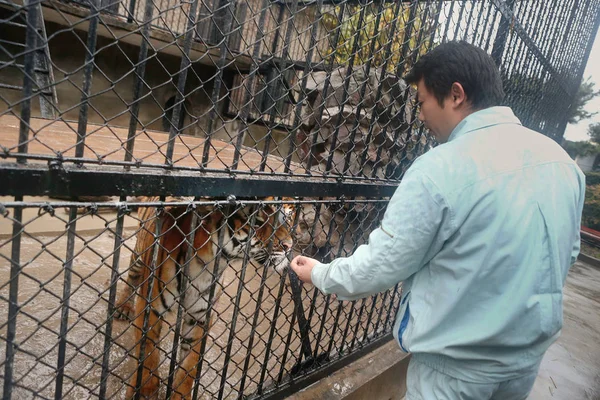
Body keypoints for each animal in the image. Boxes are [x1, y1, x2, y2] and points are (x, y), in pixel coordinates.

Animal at [113, 197, 296, 400]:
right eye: (257, 222)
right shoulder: (150, 309)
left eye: (287, 219)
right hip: (138, 256)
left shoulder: (200, 318)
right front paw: (145, 391)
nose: (289, 246)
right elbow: (149, 356)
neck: (206, 265)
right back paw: (123, 307)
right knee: (131, 278)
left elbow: (188, 368)